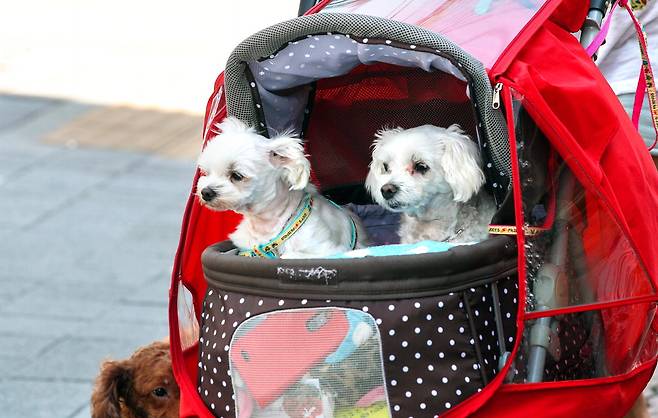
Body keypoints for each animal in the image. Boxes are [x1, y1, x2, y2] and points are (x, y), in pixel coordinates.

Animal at [195, 115, 364, 258]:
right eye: (206, 172)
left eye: (236, 175)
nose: (206, 192)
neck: (264, 227)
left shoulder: (327, 251)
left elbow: (289, 256)